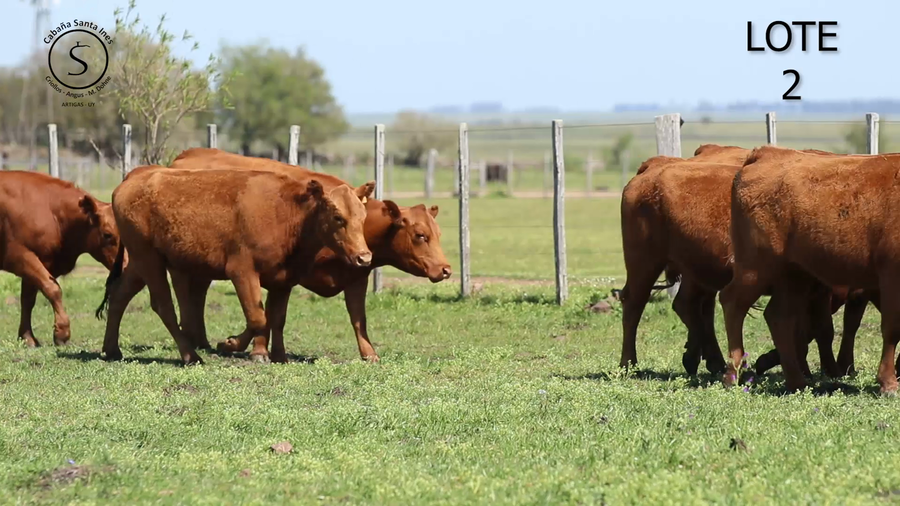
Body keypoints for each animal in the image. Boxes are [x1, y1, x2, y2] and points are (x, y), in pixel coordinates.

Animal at [0, 171, 119, 347]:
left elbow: (28, 300)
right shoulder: (19, 255)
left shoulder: (42, 262)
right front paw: (62, 333)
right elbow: (53, 289)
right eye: (107, 234)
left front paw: (27, 337)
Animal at [96, 165, 373, 365]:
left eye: (362, 217)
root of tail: (134, 177)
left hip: (140, 263)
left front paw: (278, 356)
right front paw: (234, 346)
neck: (287, 212)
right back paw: (190, 355)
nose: (364, 257)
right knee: (164, 306)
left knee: (119, 295)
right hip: (149, 260)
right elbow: (258, 317)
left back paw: (111, 350)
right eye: (338, 217)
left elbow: (276, 318)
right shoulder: (242, 271)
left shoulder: (283, 280)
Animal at [163, 148, 452, 362]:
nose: (446, 269)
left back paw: (200, 340)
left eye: (438, 233)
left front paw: (369, 353)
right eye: (420, 235)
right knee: (188, 296)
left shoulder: (354, 277)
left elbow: (357, 319)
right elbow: (263, 315)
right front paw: (242, 345)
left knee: (198, 295)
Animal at [720, 145, 900, 393]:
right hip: (755, 267)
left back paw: (796, 381)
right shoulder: (891, 275)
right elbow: (892, 329)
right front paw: (888, 383)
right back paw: (732, 374)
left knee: (779, 317)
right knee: (733, 303)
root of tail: (766, 153)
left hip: (794, 274)